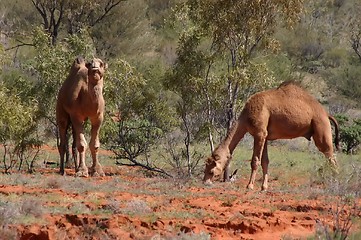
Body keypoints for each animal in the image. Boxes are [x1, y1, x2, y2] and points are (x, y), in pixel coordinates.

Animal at [202, 81, 338, 190]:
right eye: (205, 168)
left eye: (212, 171)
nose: (205, 182)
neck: (246, 117)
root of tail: (327, 114)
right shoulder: (265, 136)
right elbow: (265, 161)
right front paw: (264, 187)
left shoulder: (259, 133)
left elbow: (255, 160)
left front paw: (250, 186)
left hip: (321, 127)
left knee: (331, 157)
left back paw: (333, 184)